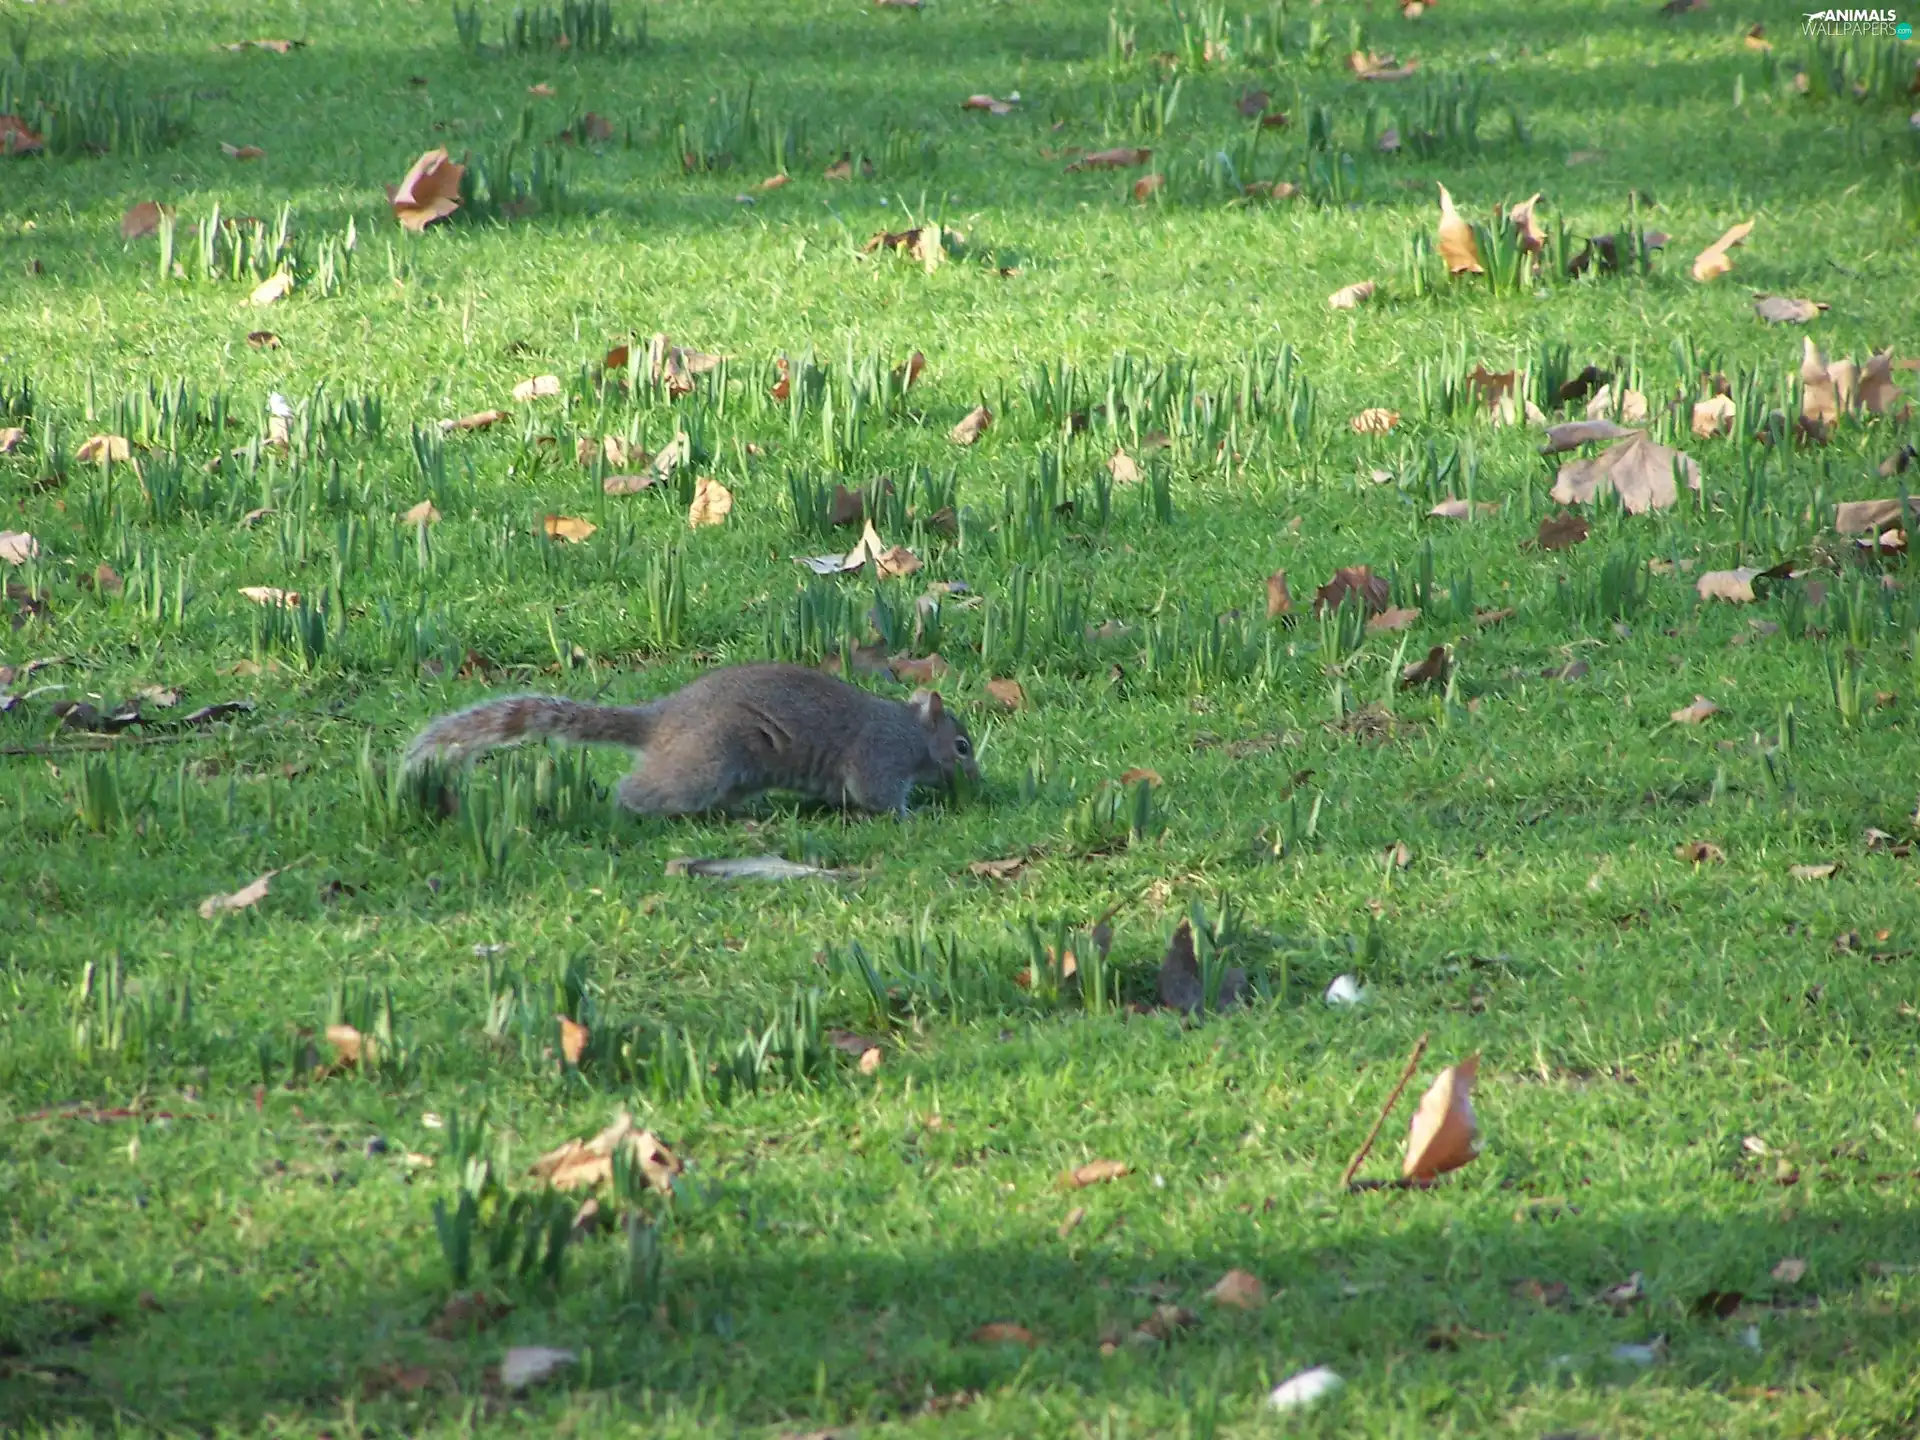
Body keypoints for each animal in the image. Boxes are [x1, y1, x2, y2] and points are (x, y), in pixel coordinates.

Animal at [405, 662, 978, 818]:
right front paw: (910, 814)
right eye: (963, 745)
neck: (912, 732)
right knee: (646, 790)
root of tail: (661, 721)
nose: (977, 780)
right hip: (705, 762)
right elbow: (875, 795)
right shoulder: (879, 755)